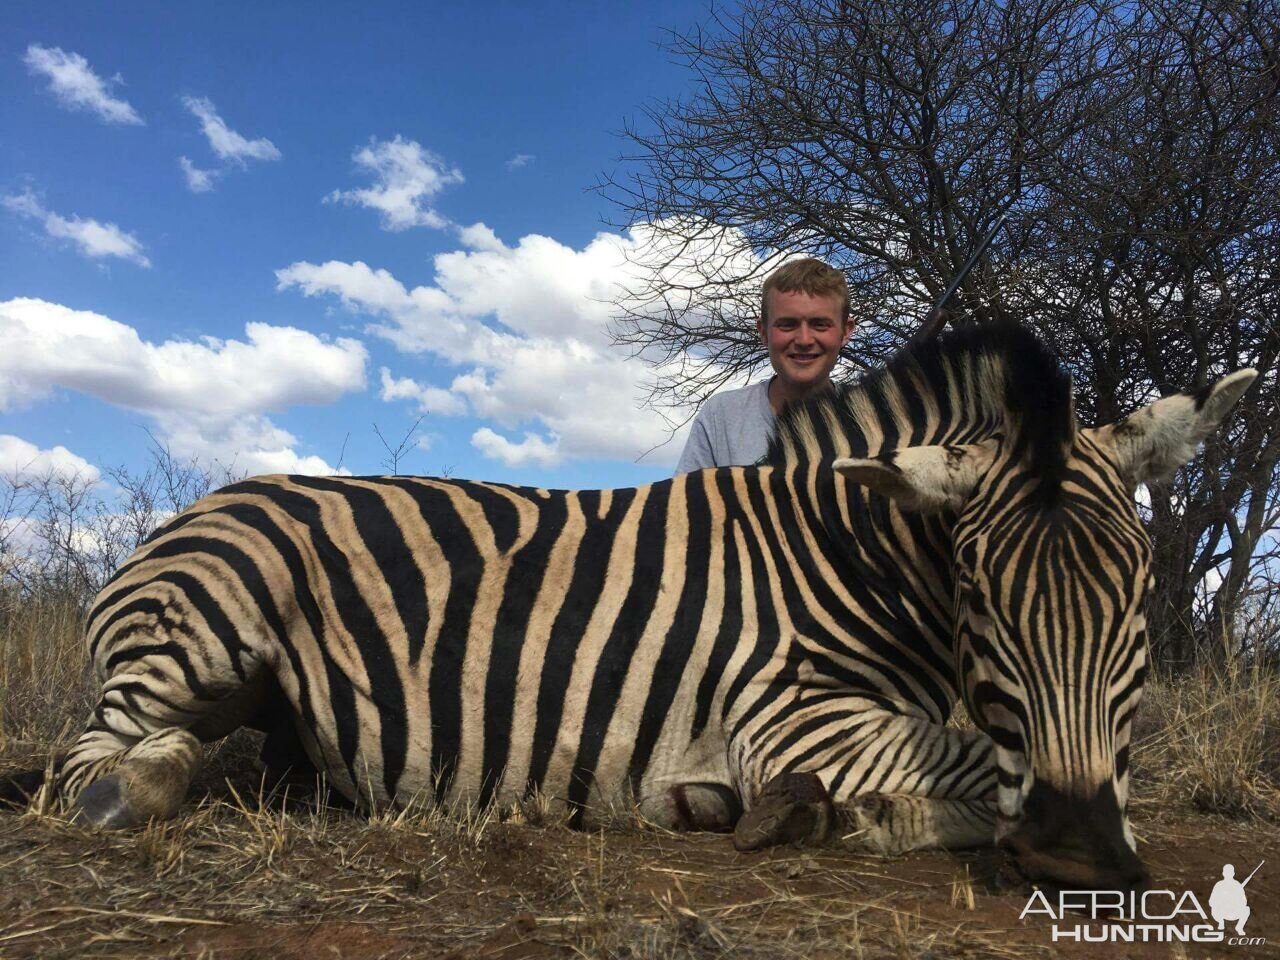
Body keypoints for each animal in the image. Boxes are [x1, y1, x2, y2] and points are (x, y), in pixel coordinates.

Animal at [15, 321, 1254, 885]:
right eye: (978, 596)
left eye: (1135, 599)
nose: (1078, 851)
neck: (851, 556)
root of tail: (190, 511)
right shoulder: (788, 718)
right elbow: (960, 768)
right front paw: (814, 815)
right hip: (202, 635)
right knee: (98, 763)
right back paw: (144, 783)